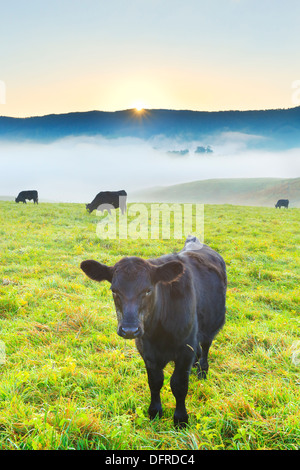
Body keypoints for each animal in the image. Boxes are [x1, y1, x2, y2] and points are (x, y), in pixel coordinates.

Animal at [81, 235, 226, 426]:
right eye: (114, 290)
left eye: (148, 290)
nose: (129, 329)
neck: (159, 333)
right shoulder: (147, 350)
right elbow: (155, 382)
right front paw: (155, 411)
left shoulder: (185, 349)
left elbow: (179, 385)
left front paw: (180, 418)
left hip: (211, 324)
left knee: (206, 346)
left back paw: (202, 371)